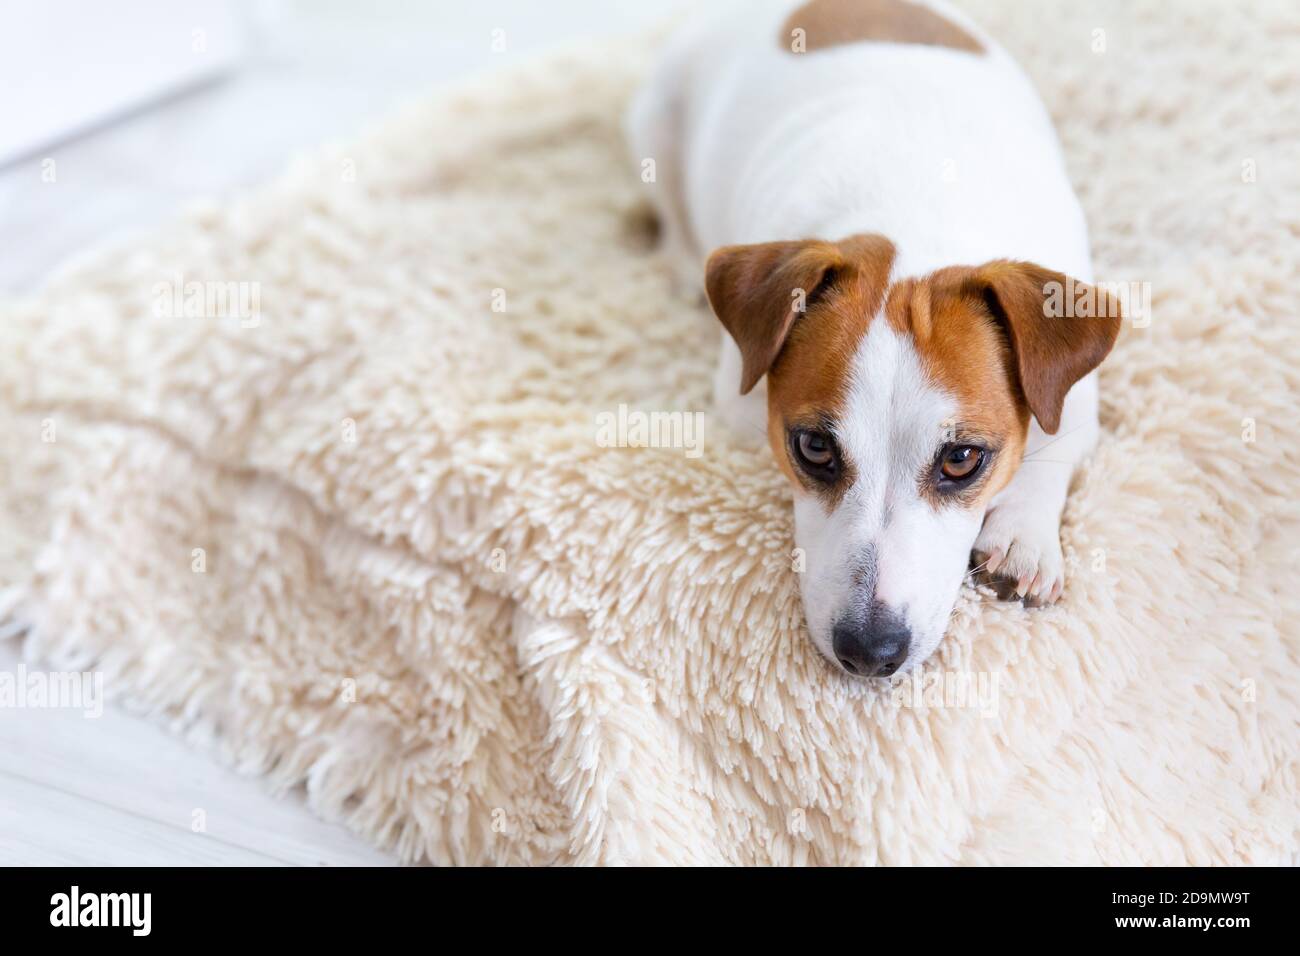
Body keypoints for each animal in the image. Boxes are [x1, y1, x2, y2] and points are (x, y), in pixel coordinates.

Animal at [624, 0, 1123, 681]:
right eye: (812, 447)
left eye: (962, 459)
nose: (869, 651)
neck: (917, 218)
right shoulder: (739, 401)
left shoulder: (1076, 391)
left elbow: (1055, 440)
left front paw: (1023, 537)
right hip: (654, 122)